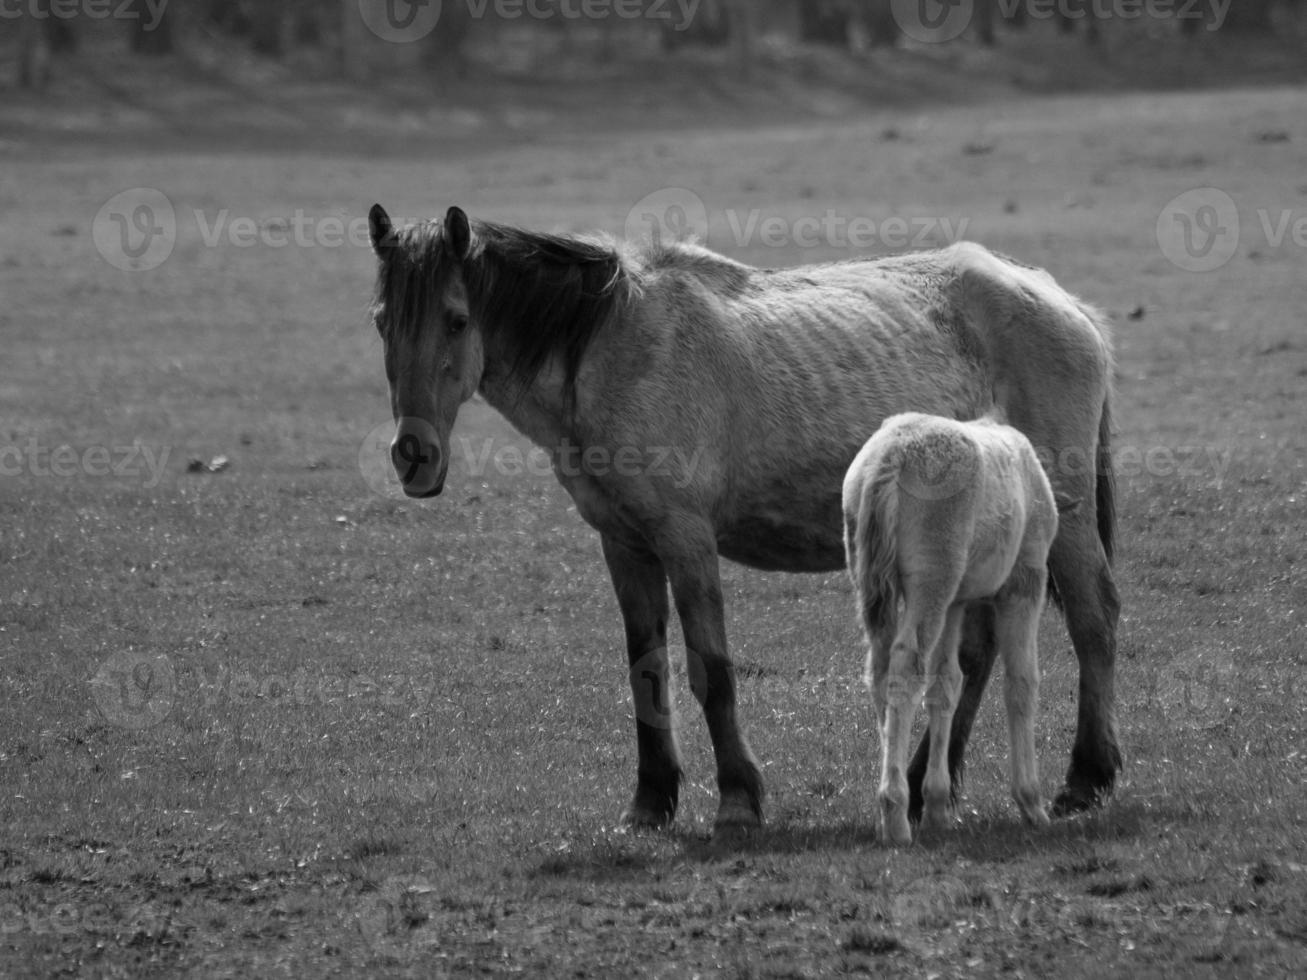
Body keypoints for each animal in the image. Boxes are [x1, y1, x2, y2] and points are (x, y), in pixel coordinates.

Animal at [841, 410, 1066, 846]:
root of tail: (889, 456)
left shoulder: (957, 602)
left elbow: (946, 683)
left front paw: (937, 807)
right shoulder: (1024, 581)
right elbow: (1021, 682)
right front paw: (1031, 803)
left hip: (878, 577)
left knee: (880, 672)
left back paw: (890, 808)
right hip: (933, 579)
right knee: (905, 666)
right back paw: (895, 815)